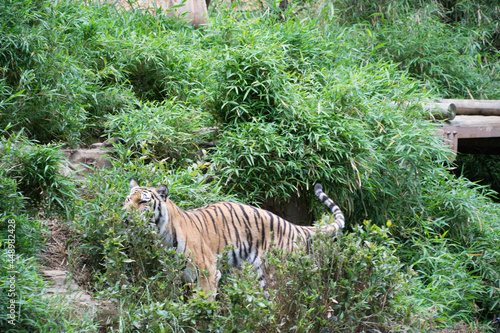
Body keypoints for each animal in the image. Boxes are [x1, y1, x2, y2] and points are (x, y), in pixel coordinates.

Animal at [124, 179, 344, 298]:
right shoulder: (173, 274)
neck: (161, 233)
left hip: (273, 274)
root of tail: (290, 225)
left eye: (143, 202)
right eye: (127, 199)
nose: (125, 216)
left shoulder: (208, 272)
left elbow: (203, 302)